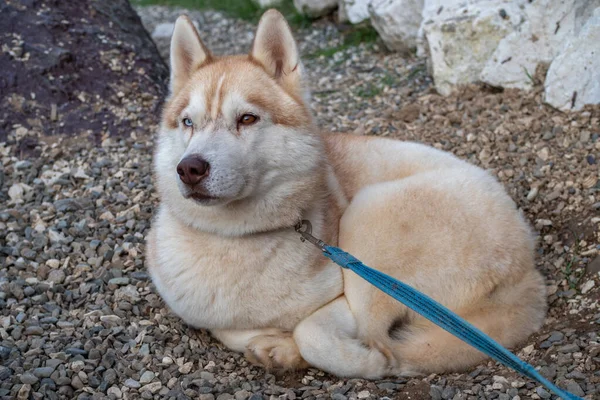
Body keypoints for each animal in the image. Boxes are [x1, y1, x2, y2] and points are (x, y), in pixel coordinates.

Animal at [144, 10, 544, 378]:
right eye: (188, 122)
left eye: (247, 119)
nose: (190, 168)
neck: (235, 238)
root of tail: (528, 271)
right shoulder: (203, 313)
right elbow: (230, 330)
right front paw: (272, 343)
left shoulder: (341, 298)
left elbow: (312, 332)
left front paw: (296, 349)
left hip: (370, 218)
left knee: (379, 335)